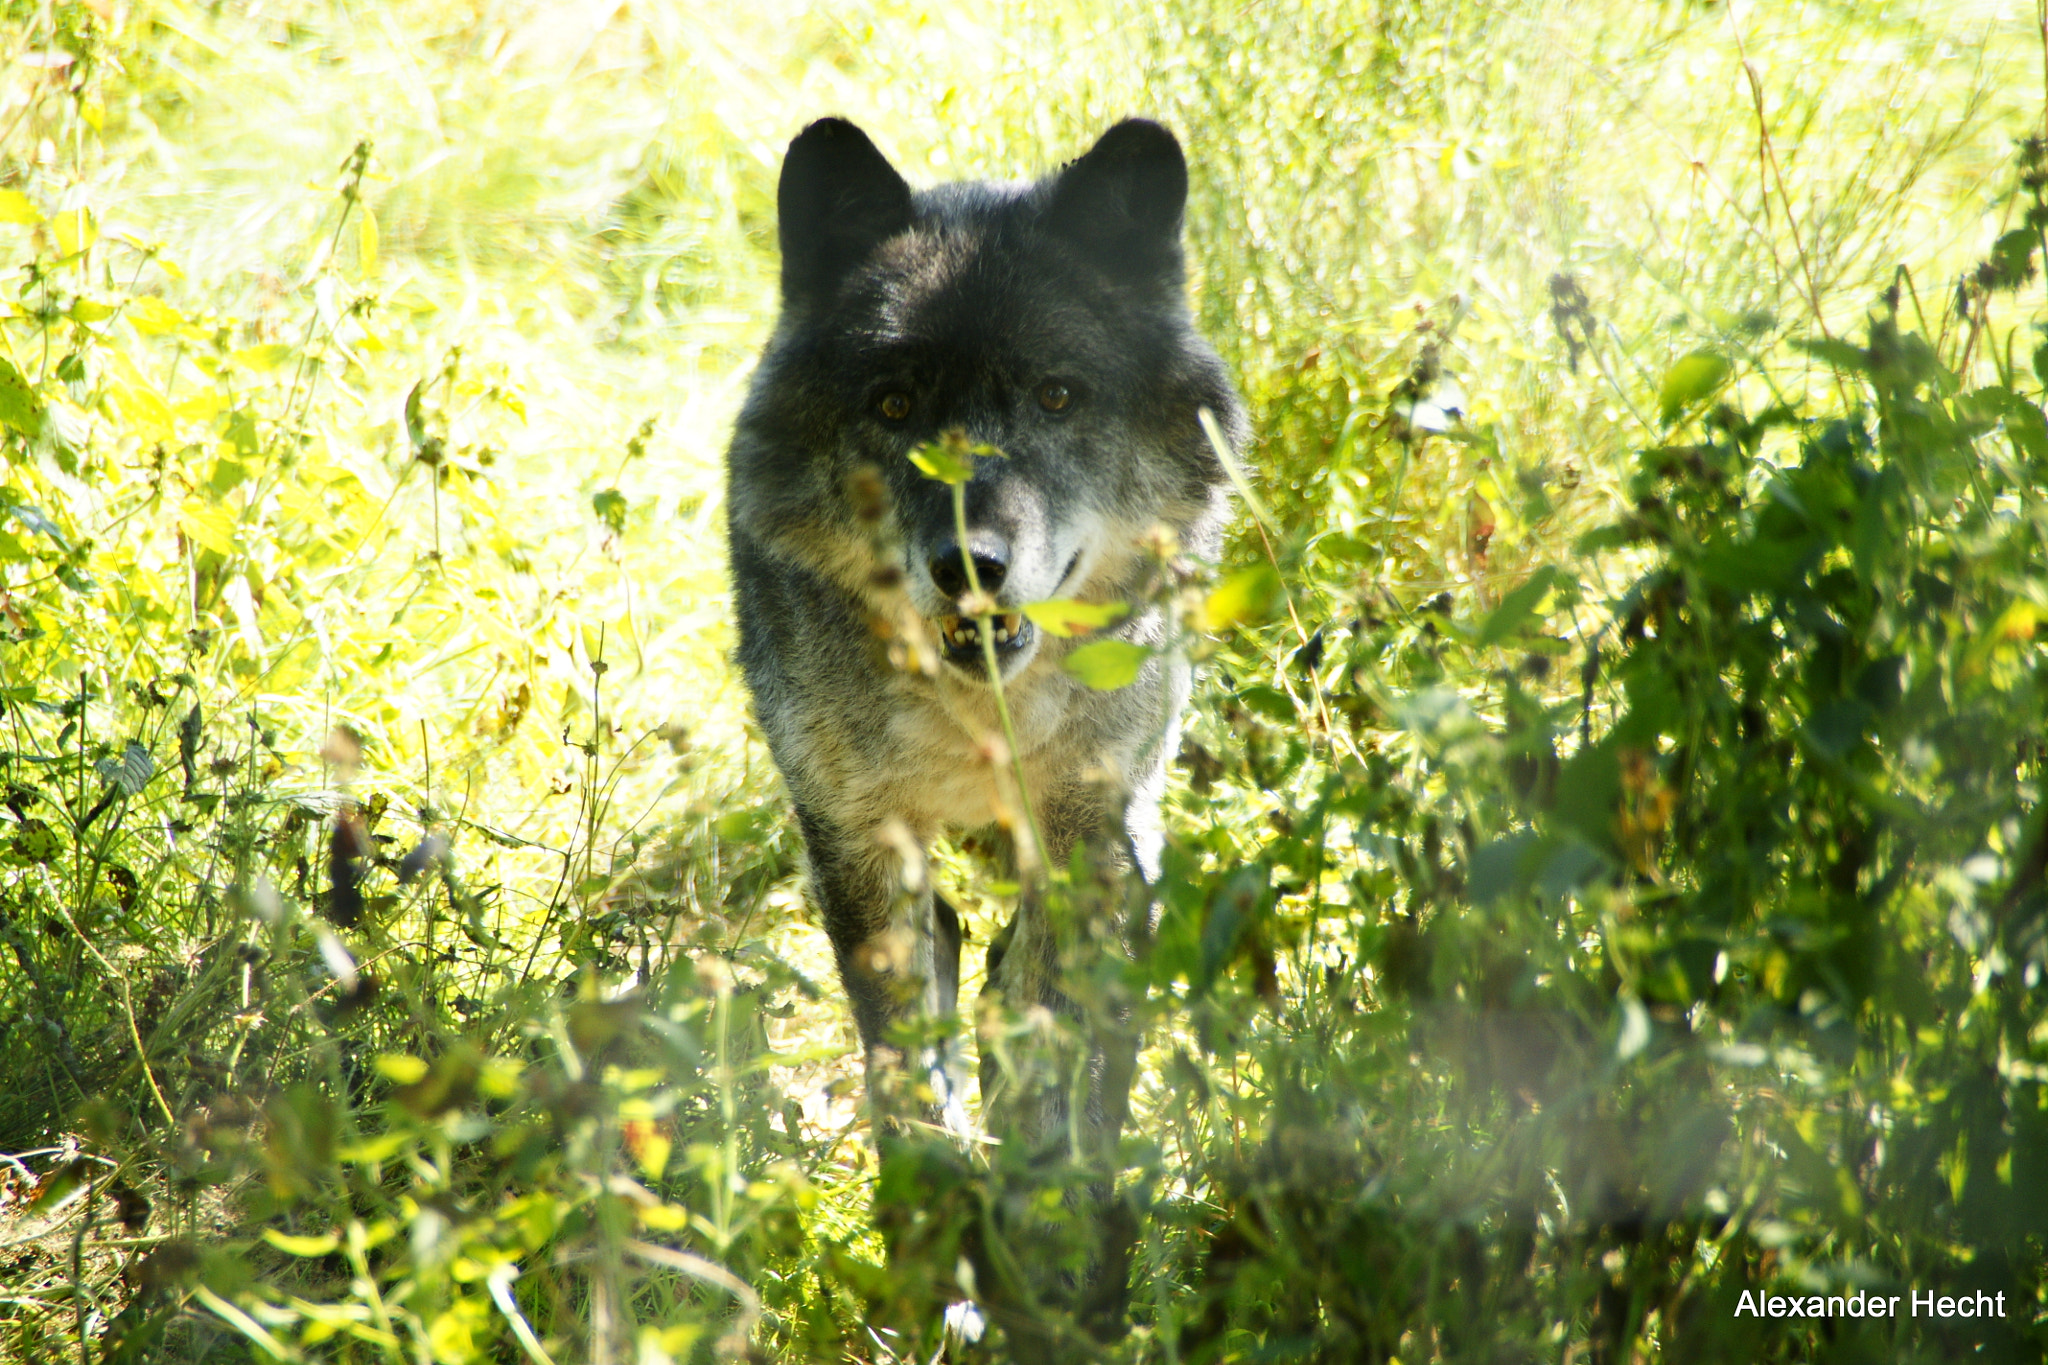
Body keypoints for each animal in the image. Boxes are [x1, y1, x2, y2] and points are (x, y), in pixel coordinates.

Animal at [729, 114, 1236, 1334]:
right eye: (893, 406)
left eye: (1056, 396)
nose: (969, 563)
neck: (975, 720)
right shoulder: (859, 843)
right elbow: (908, 1081)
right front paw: (934, 1276)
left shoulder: (1095, 840)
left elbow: (1058, 1060)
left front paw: (1045, 1266)